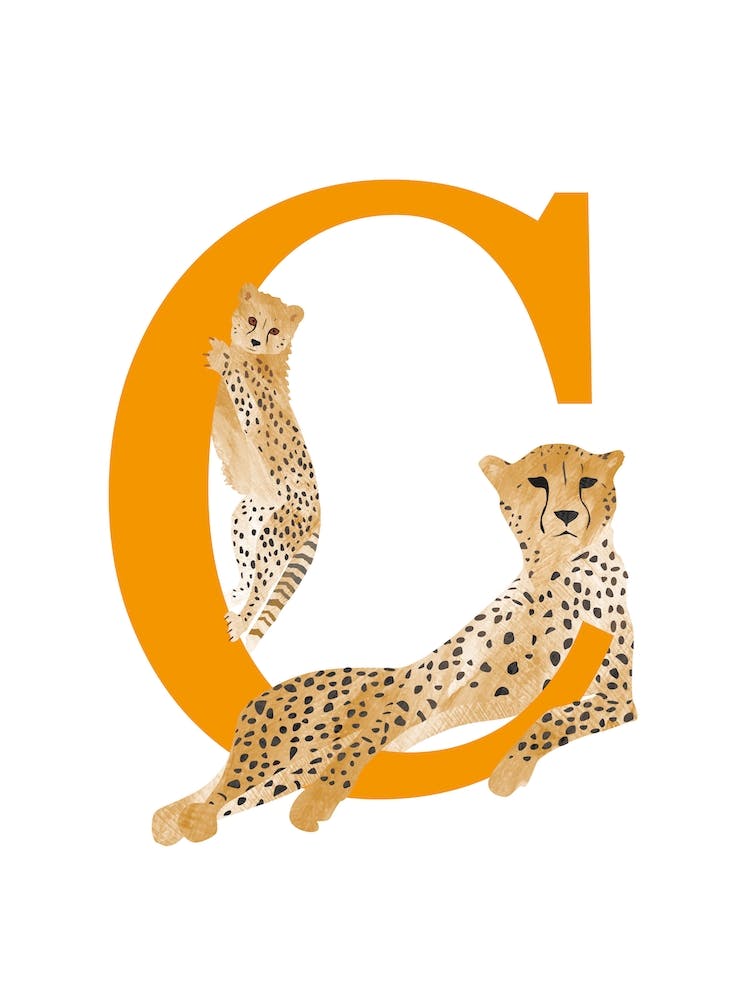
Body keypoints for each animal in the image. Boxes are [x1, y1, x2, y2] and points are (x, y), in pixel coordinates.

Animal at [153, 443, 635, 845]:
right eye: (538, 482)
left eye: (587, 482)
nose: (568, 516)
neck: (561, 569)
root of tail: (267, 691)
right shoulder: (423, 688)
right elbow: (369, 738)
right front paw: (316, 804)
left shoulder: (618, 700)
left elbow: (553, 717)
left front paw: (507, 772)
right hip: (276, 750)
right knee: (226, 789)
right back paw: (195, 820)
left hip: (291, 767)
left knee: (226, 798)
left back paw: (182, 822)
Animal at [207, 282, 320, 649]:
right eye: (253, 319)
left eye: (274, 330)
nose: (256, 341)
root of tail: (320, 512)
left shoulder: (255, 416)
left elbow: (241, 389)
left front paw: (223, 358)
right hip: (247, 519)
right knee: (249, 570)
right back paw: (235, 593)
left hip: (276, 536)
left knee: (263, 586)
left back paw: (241, 622)